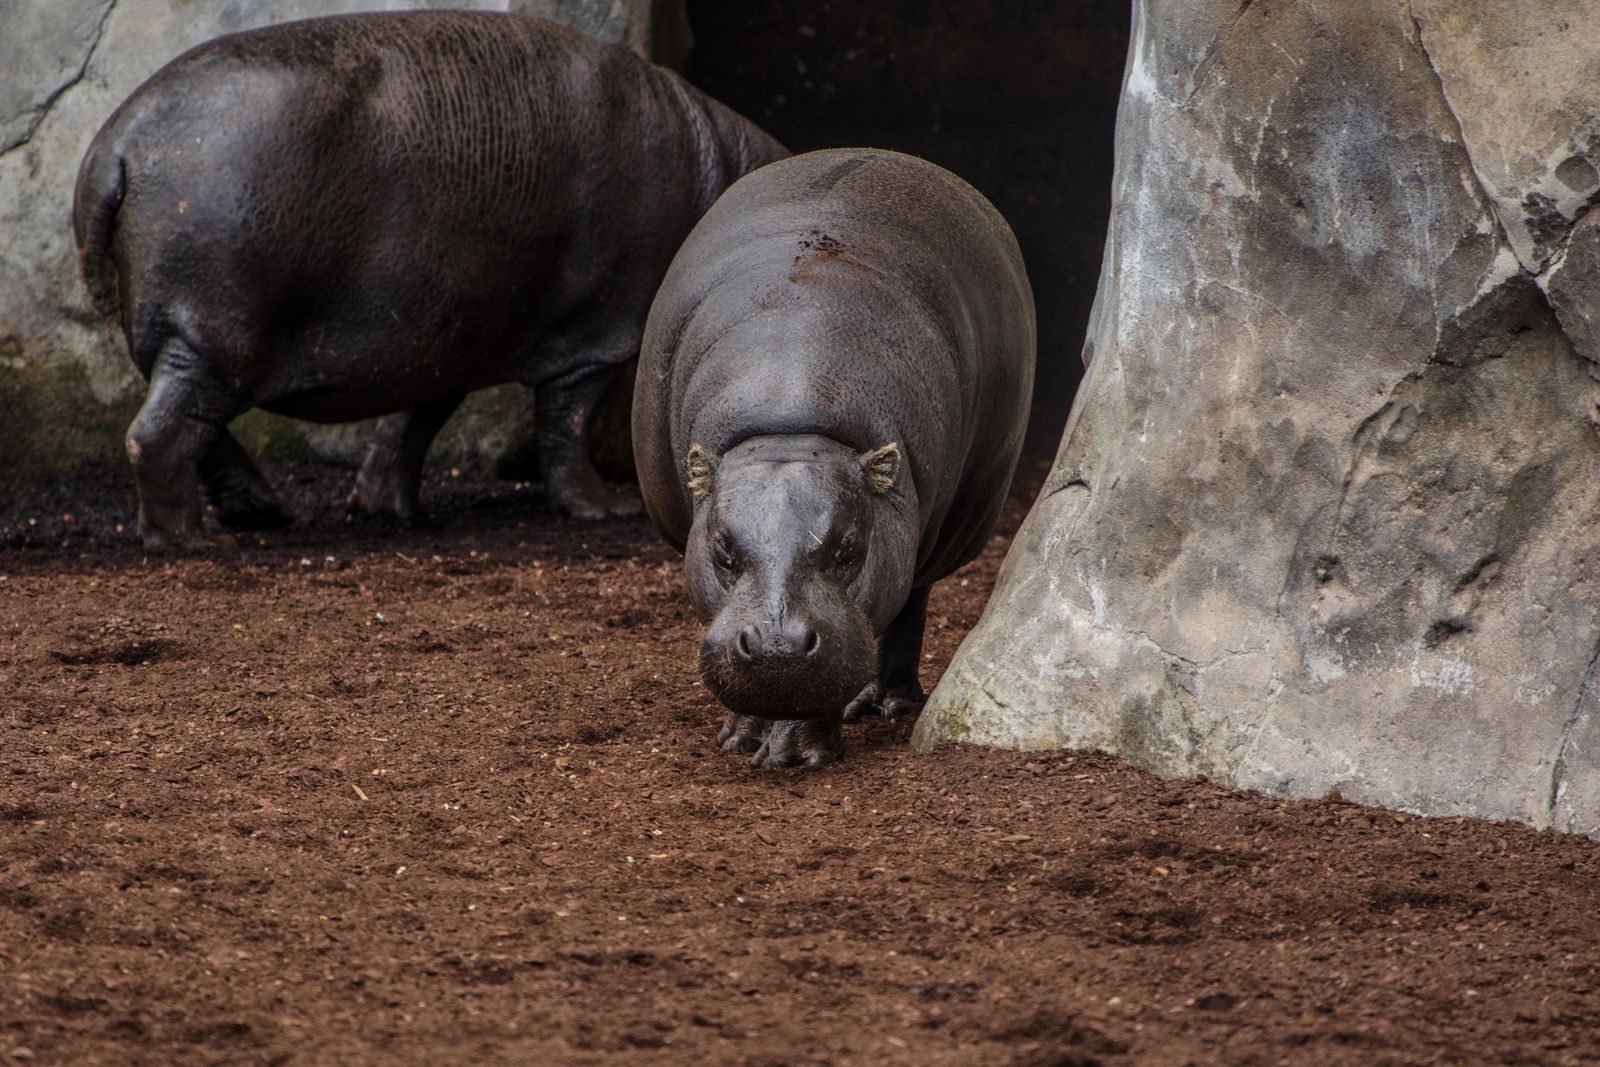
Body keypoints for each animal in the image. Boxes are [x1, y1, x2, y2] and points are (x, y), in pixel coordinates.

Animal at [72, 11, 787, 548]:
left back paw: (266, 512)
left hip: (191, 332)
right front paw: (604, 509)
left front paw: (386, 508)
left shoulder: (443, 332)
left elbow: (413, 422)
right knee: (160, 433)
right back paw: (193, 539)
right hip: (218, 326)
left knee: (193, 425)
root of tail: (114, 144)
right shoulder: (597, 332)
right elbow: (565, 422)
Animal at [633, 148, 1036, 767]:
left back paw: (885, 703)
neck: (789, 422)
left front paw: (796, 751)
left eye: (848, 548)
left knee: (910, 599)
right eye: (722, 550)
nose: (776, 647)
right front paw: (744, 737)